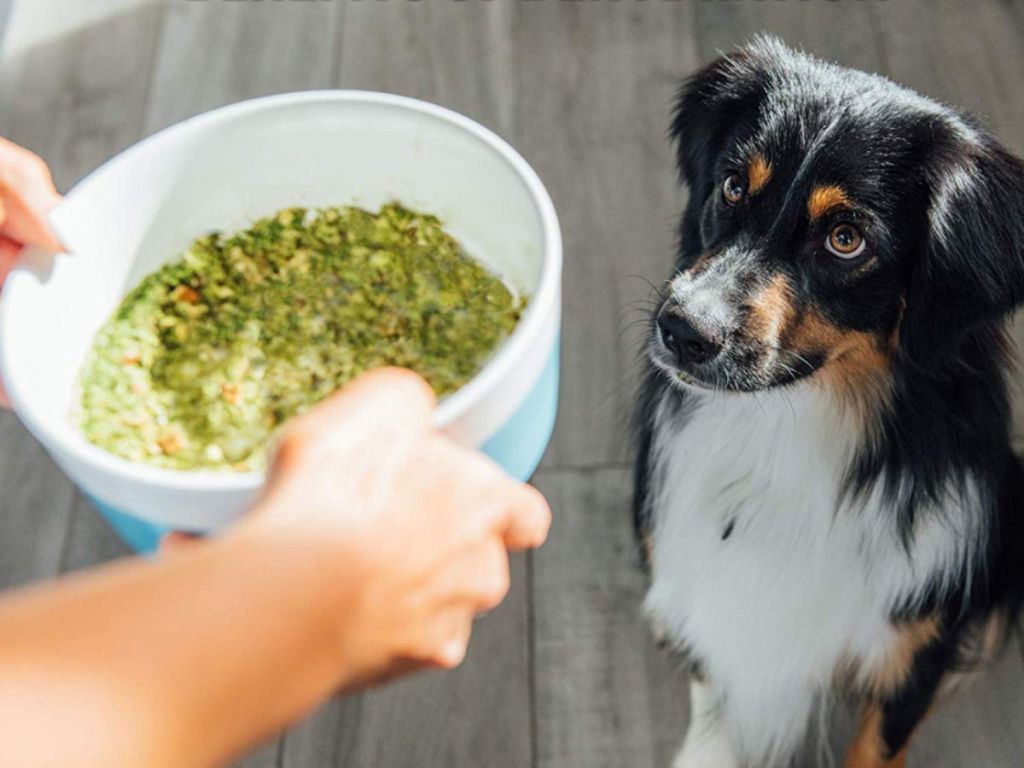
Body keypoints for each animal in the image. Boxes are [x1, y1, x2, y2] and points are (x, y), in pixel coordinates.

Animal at [630, 37, 1024, 768]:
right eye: (733, 185)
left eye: (847, 239)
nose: (681, 331)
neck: (790, 432)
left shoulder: (912, 644)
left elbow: (876, 745)